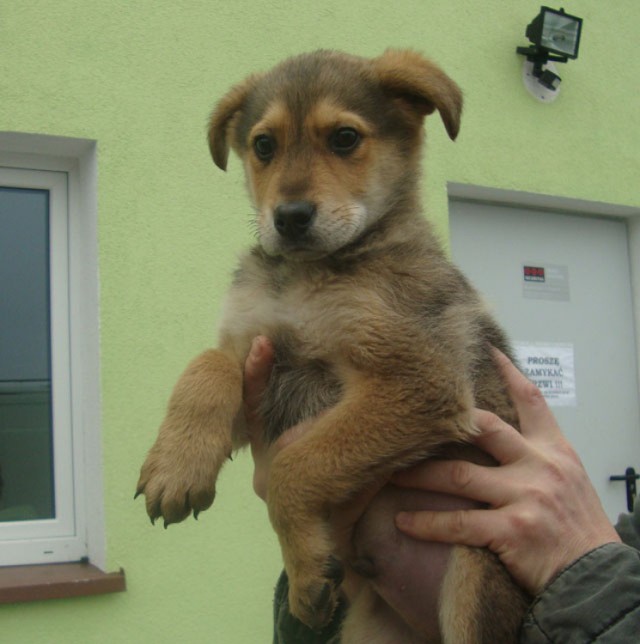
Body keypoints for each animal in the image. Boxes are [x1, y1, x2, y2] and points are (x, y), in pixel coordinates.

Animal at [139, 51, 528, 644]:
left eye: (345, 138)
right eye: (263, 145)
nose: (291, 217)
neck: (307, 276)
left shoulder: (420, 379)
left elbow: (294, 466)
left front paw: (305, 574)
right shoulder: (258, 369)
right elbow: (206, 364)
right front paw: (175, 467)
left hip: (475, 574)